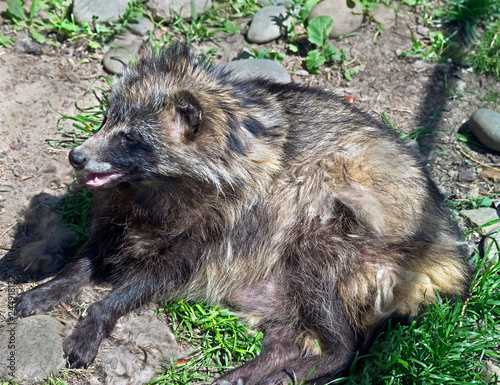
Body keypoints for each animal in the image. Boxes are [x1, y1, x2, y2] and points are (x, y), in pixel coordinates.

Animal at [14, 42, 468, 384]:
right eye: (106, 120)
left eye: (129, 138)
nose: (75, 157)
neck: (153, 187)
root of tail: (445, 254)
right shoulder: (123, 210)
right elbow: (95, 251)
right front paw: (59, 282)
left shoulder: (222, 223)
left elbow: (156, 276)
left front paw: (100, 313)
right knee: (287, 332)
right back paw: (261, 366)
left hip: (348, 228)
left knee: (325, 287)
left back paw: (323, 358)